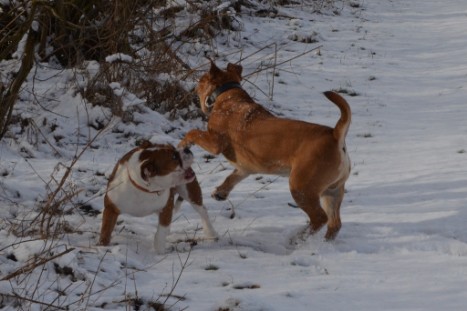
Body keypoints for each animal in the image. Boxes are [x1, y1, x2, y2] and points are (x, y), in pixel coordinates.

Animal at [181, 62, 352, 240]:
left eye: (202, 80)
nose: (194, 86)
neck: (228, 95)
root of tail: (335, 135)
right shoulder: (244, 168)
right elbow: (231, 178)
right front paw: (220, 192)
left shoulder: (215, 142)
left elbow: (193, 132)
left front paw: (183, 143)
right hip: (332, 192)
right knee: (334, 224)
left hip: (301, 187)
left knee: (319, 218)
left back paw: (298, 238)